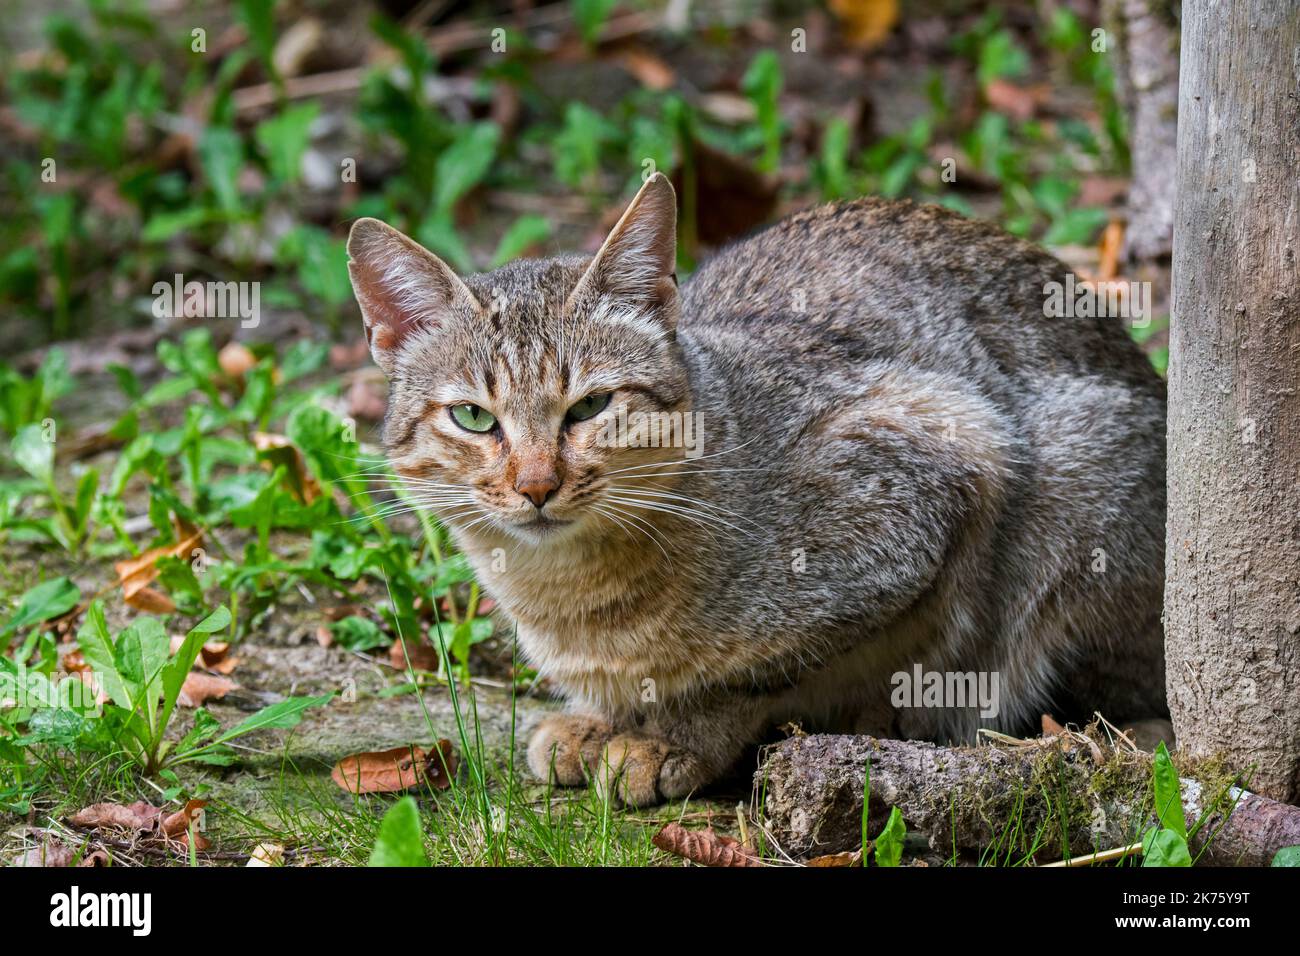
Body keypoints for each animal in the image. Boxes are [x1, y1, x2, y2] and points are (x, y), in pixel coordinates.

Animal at [345, 174, 1170, 806]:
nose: (537, 484)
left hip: (1078, 491)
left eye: (589, 407)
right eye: (473, 417)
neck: (573, 600)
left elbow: (756, 673)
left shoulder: (943, 464)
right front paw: (597, 717)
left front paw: (671, 738)